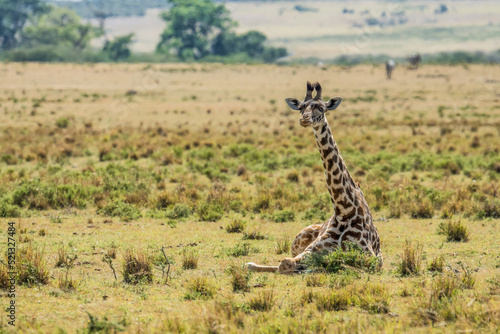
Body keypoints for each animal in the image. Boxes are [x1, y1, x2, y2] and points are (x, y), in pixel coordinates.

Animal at [246, 81, 382, 274]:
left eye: (321, 108)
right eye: (301, 108)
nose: (305, 119)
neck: (344, 209)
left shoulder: (372, 257)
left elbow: (343, 264)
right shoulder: (312, 249)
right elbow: (285, 263)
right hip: (297, 241)